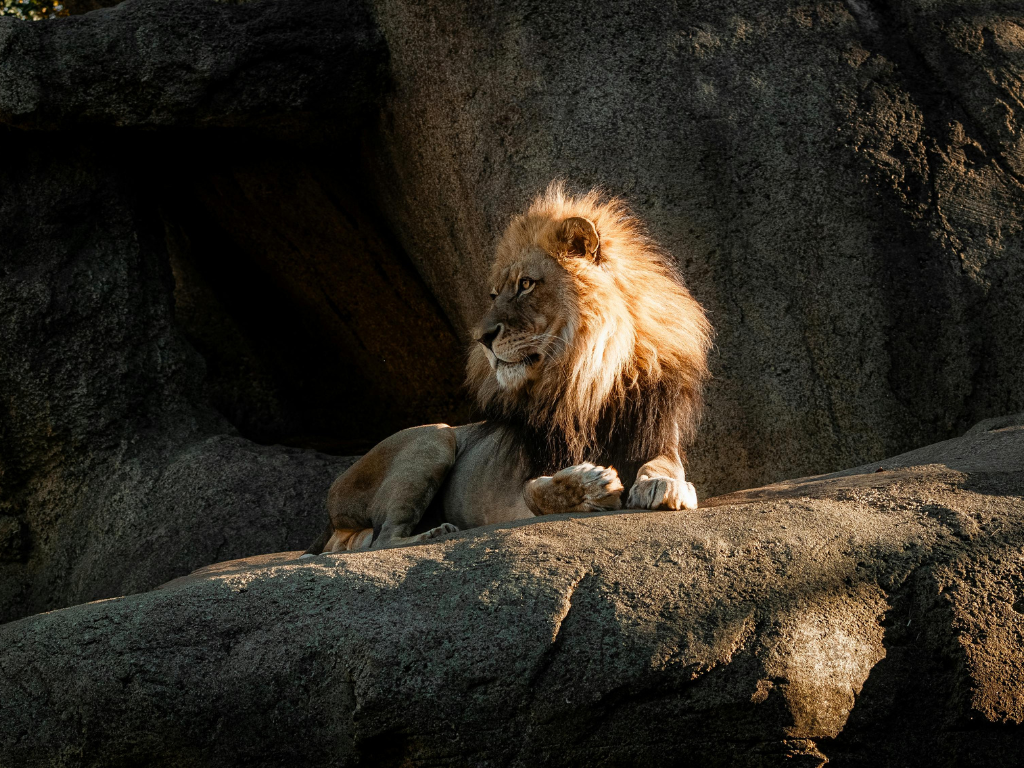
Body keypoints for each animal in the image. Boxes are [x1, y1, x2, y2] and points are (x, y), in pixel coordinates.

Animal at [302, 181, 712, 555]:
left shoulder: (657, 436)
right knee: (382, 539)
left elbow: (664, 464)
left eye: (526, 284)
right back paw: (435, 533)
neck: (587, 379)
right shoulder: (512, 495)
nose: (481, 338)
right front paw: (588, 487)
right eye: (494, 294)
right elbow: (534, 490)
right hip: (433, 437)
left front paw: (661, 485)